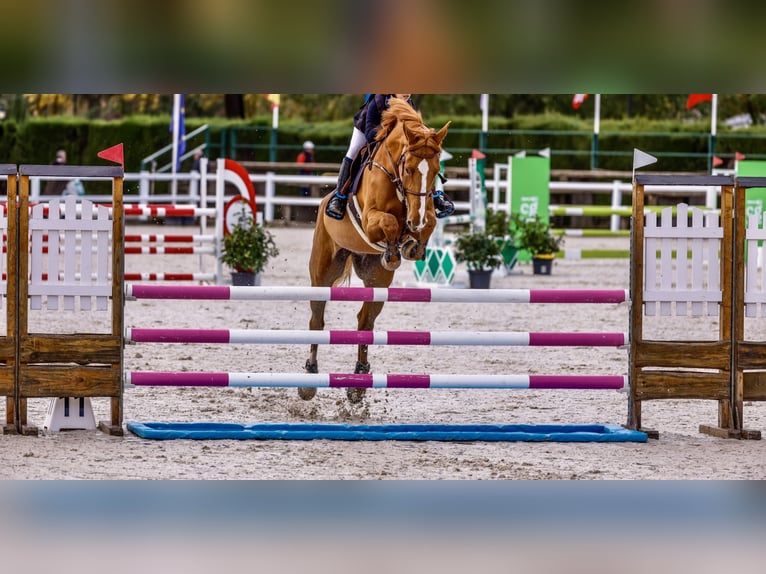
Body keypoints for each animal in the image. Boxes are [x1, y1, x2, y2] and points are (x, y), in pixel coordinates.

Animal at [304, 98, 452, 404]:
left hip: (377, 280)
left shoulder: (425, 211)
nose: (416, 221)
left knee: (365, 322)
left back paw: (358, 382)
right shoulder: (371, 220)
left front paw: (412, 245)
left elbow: (430, 221)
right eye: (408, 168)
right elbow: (389, 221)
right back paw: (309, 380)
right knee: (317, 318)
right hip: (323, 273)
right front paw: (396, 245)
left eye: (435, 171)